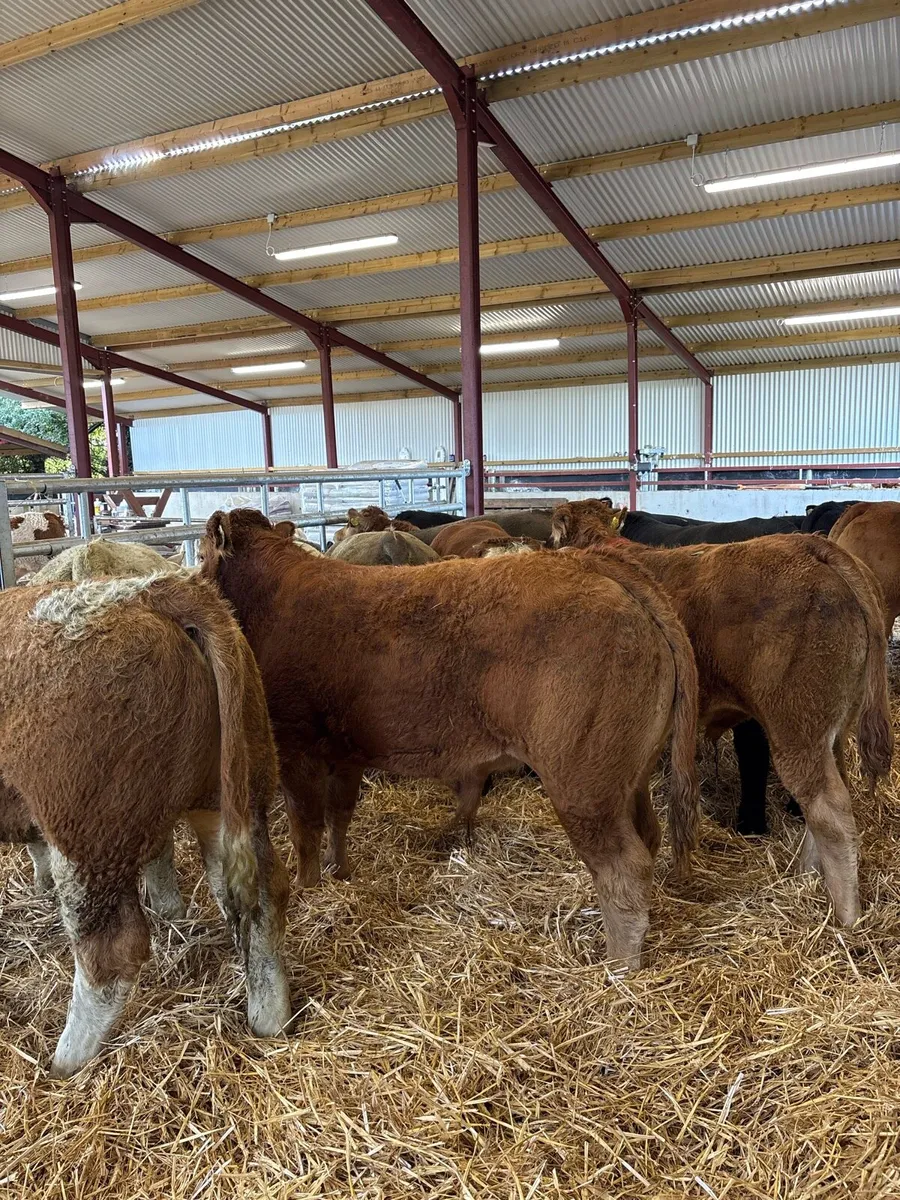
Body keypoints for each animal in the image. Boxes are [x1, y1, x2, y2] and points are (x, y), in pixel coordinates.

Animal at [0, 573, 290, 1075]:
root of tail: (148, 591)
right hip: (238, 791)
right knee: (258, 894)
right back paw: (271, 1018)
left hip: (88, 831)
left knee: (113, 950)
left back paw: (67, 1060)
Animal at [200, 508, 700, 969]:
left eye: (201, 554)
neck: (275, 595)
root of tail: (591, 563)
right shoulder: (346, 753)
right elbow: (339, 815)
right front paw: (340, 872)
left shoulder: (295, 746)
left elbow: (306, 827)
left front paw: (309, 885)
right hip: (628, 778)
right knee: (649, 836)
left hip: (583, 784)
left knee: (623, 867)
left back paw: (619, 968)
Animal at [551, 500, 892, 925]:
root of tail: (811, 546)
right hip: (827, 728)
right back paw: (806, 877)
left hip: (796, 728)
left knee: (831, 812)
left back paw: (846, 915)